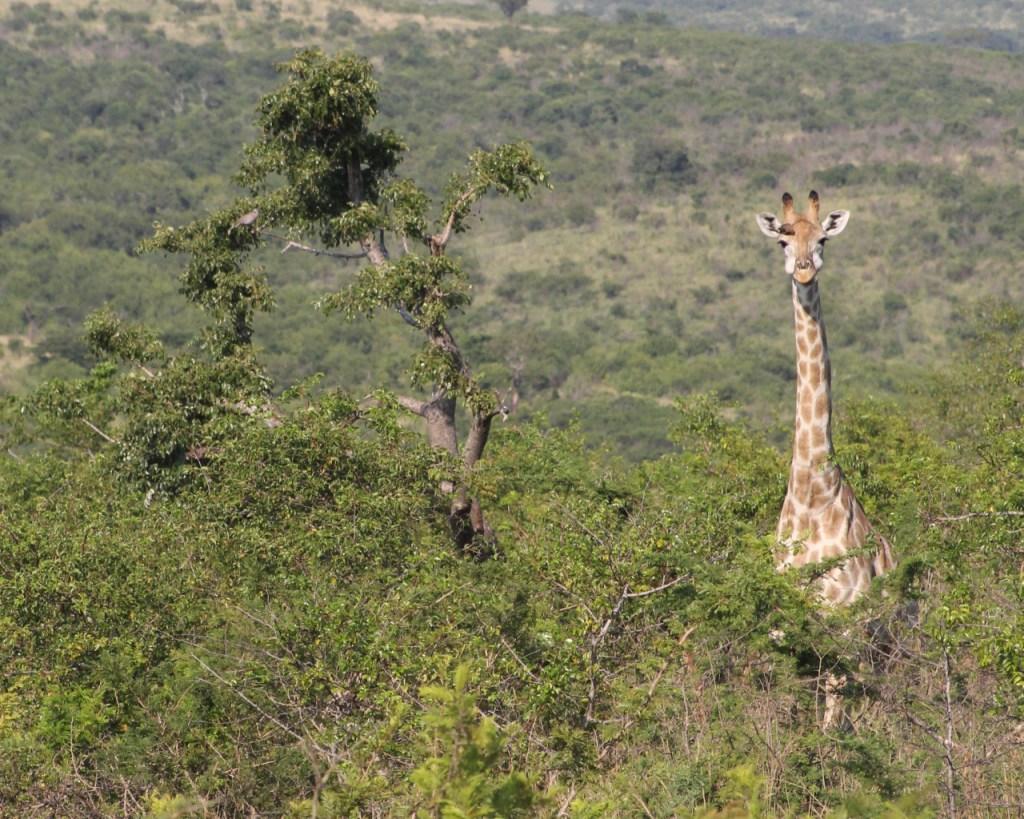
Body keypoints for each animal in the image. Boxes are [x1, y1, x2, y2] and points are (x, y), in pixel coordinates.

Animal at [756, 191, 896, 725]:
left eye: (822, 240)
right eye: (782, 240)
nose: (802, 271)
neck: (810, 493)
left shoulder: (842, 621)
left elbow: (832, 717)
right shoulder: (783, 627)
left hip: (887, 639)